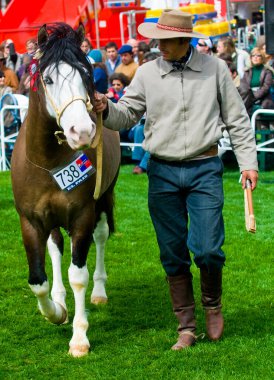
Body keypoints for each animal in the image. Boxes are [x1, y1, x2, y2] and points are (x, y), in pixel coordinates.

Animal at [10, 23, 120, 356]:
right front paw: (56, 311)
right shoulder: (30, 221)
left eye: (86, 75)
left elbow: (79, 276)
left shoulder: (82, 215)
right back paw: (60, 298)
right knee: (55, 246)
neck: (47, 161)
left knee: (100, 236)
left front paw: (80, 338)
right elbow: (38, 281)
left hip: (104, 198)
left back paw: (99, 291)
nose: (82, 131)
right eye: (48, 79)